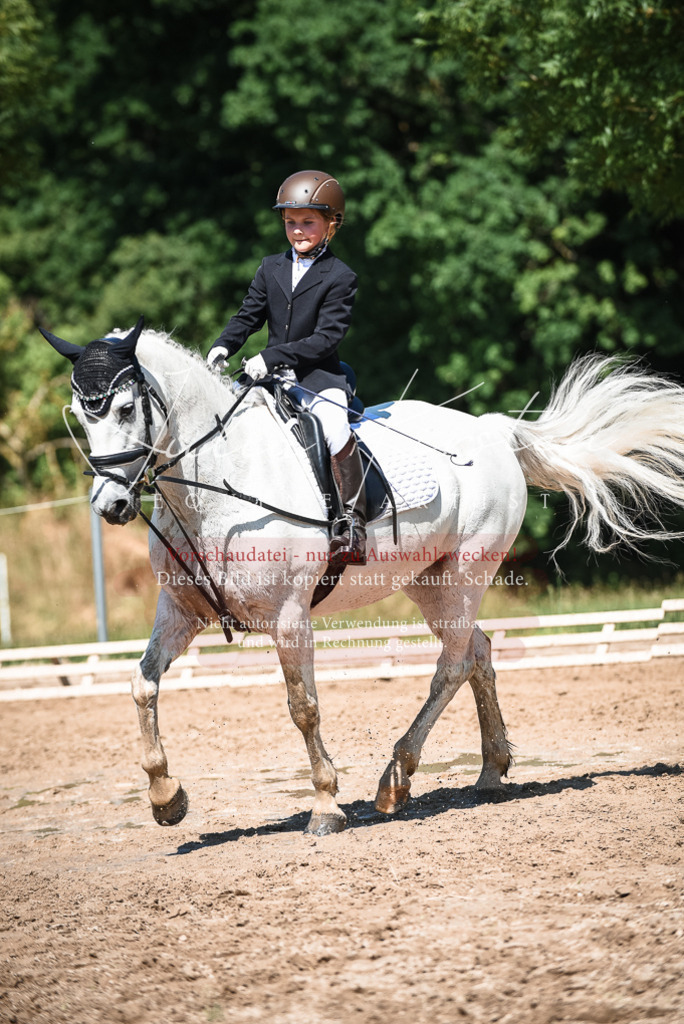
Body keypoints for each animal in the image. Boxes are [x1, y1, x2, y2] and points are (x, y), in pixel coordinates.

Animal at [41, 319, 684, 835]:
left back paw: (395, 780)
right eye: (82, 416)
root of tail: (492, 431)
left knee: (452, 665)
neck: (216, 486)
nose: (111, 505)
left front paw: (326, 805)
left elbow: (303, 707)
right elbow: (141, 684)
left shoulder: (289, 617)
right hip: (431, 583)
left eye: (126, 409)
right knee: (476, 651)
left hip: (466, 572)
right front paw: (165, 797)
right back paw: (489, 770)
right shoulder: (179, 614)